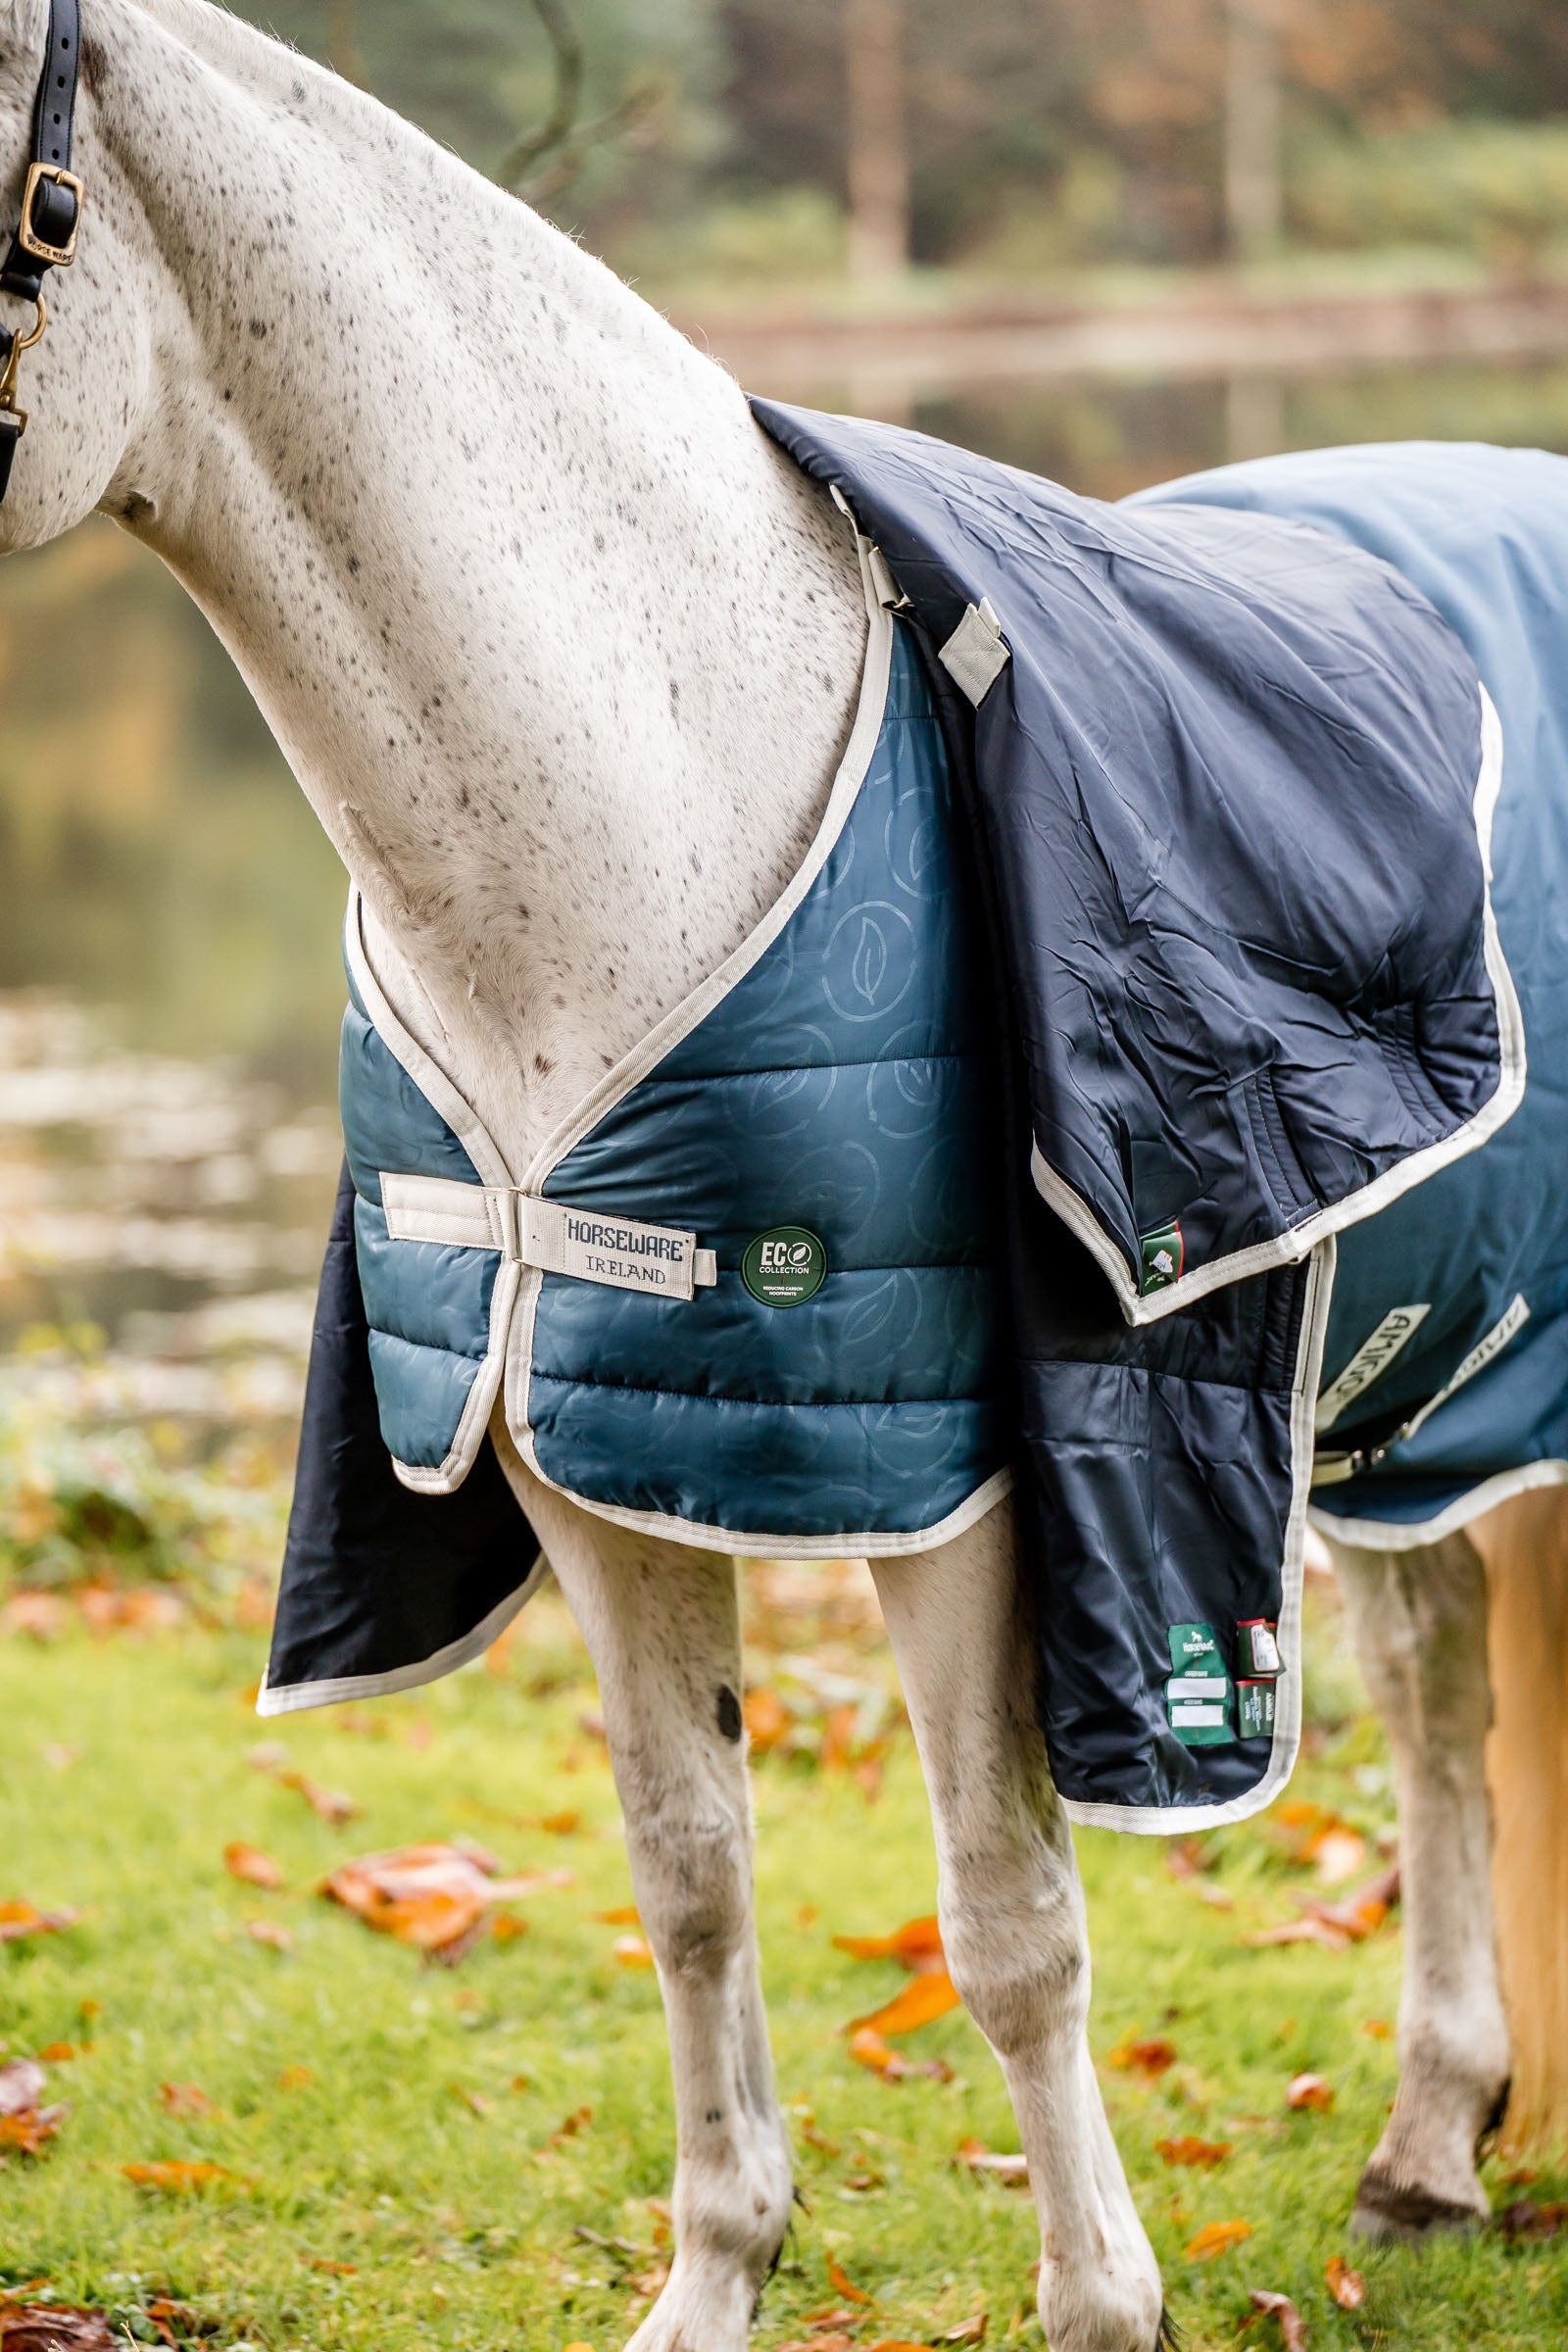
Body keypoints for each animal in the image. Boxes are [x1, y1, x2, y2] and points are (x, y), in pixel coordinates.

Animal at [0, 4, 1562, 2347]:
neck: (650, 785)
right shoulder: (584, 1453)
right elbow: (691, 1878)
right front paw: (718, 2278)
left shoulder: (961, 1488)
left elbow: (1007, 1928)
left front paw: (1098, 2306)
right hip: (1381, 1382)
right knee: (1435, 1683)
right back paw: (1426, 2154)